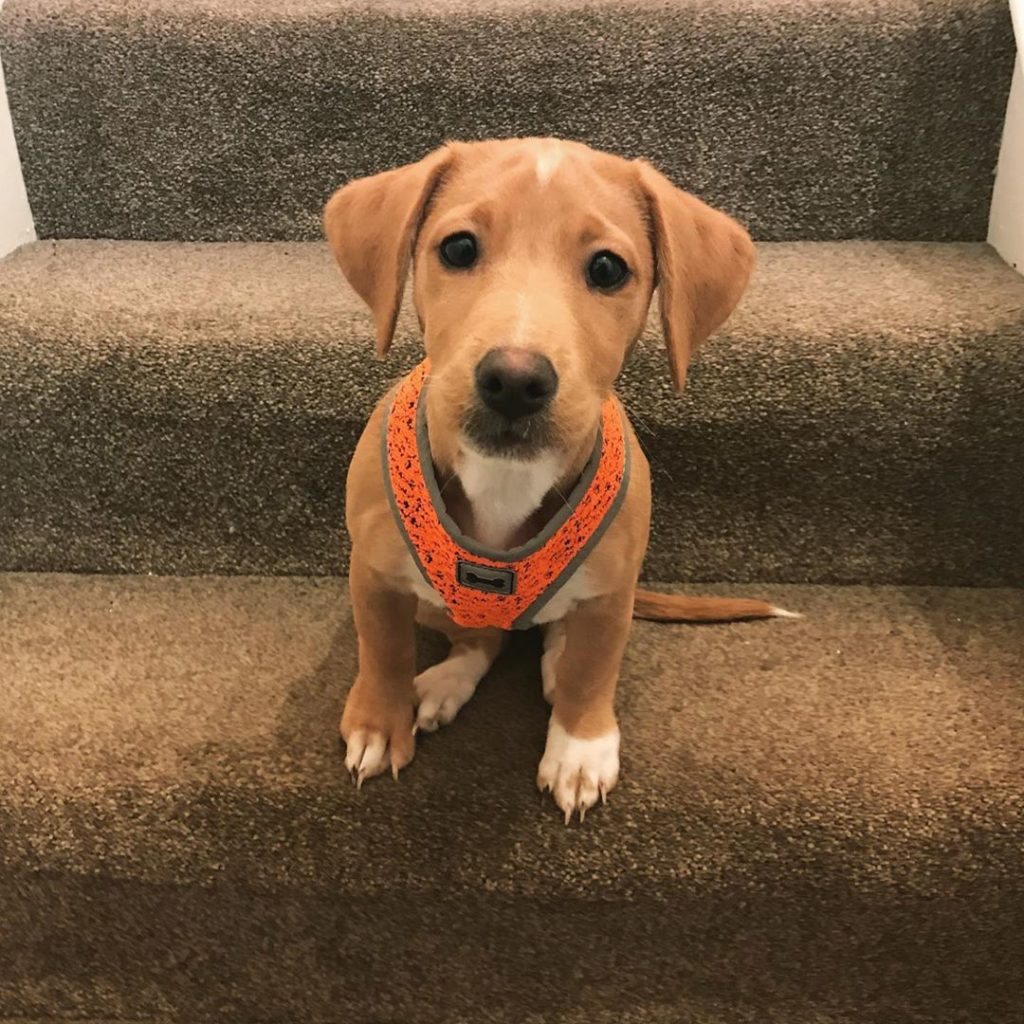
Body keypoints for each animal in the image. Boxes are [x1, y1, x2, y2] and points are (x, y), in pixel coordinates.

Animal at [323, 138, 786, 823]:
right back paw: (443, 685)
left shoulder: (612, 593)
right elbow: (383, 651)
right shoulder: (374, 576)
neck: (504, 479)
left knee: (551, 642)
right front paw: (381, 724)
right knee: (480, 639)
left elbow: (593, 671)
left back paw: (550, 661)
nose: (515, 380)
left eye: (607, 269)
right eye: (458, 249)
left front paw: (580, 748)